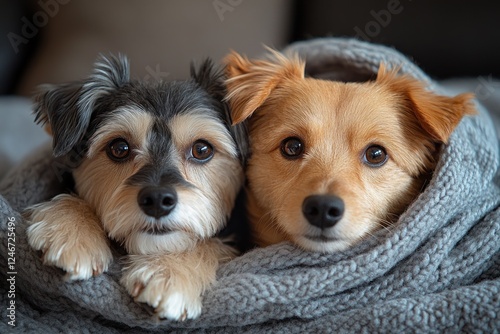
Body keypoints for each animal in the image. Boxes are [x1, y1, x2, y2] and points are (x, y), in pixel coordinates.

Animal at [25, 53, 248, 320]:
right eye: (119, 148)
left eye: (202, 149)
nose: (157, 200)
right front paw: (70, 230)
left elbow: (207, 242)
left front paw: (169, 271)